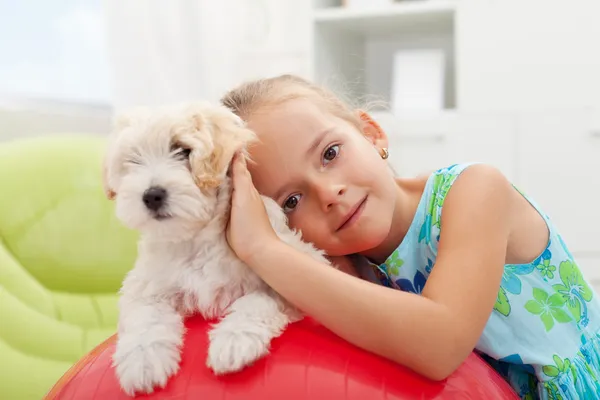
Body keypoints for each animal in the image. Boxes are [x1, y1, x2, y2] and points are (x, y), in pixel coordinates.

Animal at [102, 101, 328, 396]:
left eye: (182, 150)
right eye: (133, 160)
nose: (151, 195)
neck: (196, 238)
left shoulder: (295, 266)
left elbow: (258, 300)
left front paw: (234, 341)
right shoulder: (144, 286)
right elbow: (145, 318)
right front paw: (143, 361)